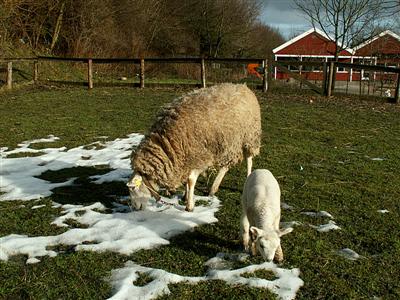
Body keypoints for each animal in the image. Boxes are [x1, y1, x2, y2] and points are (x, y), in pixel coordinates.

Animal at [126, 83, 260, 212]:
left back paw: (245, 177)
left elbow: (190, 180)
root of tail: (243, 86)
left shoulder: (199, 156)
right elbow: (187, 179)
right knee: (226, 165)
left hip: (250, 136)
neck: (168, 142)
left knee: (248, 159)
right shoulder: (186, 158)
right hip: (229, 142)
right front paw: (185, 196)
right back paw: (214, 188)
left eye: (133, 189)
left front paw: (189, 205)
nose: (135, 208)